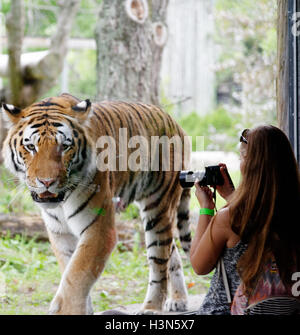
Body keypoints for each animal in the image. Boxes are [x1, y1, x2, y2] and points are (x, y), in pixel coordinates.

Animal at [1, 93, 191, 316]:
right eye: (31, 147)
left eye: (64, 146)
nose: (47, 182)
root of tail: (175, 123)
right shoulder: (59, 232)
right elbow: (70, 270)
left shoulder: (99, 229)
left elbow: (77, 274)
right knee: (172, 253)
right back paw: (178, 299)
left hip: (158, 207)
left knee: (159, 261)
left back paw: (151, 308)